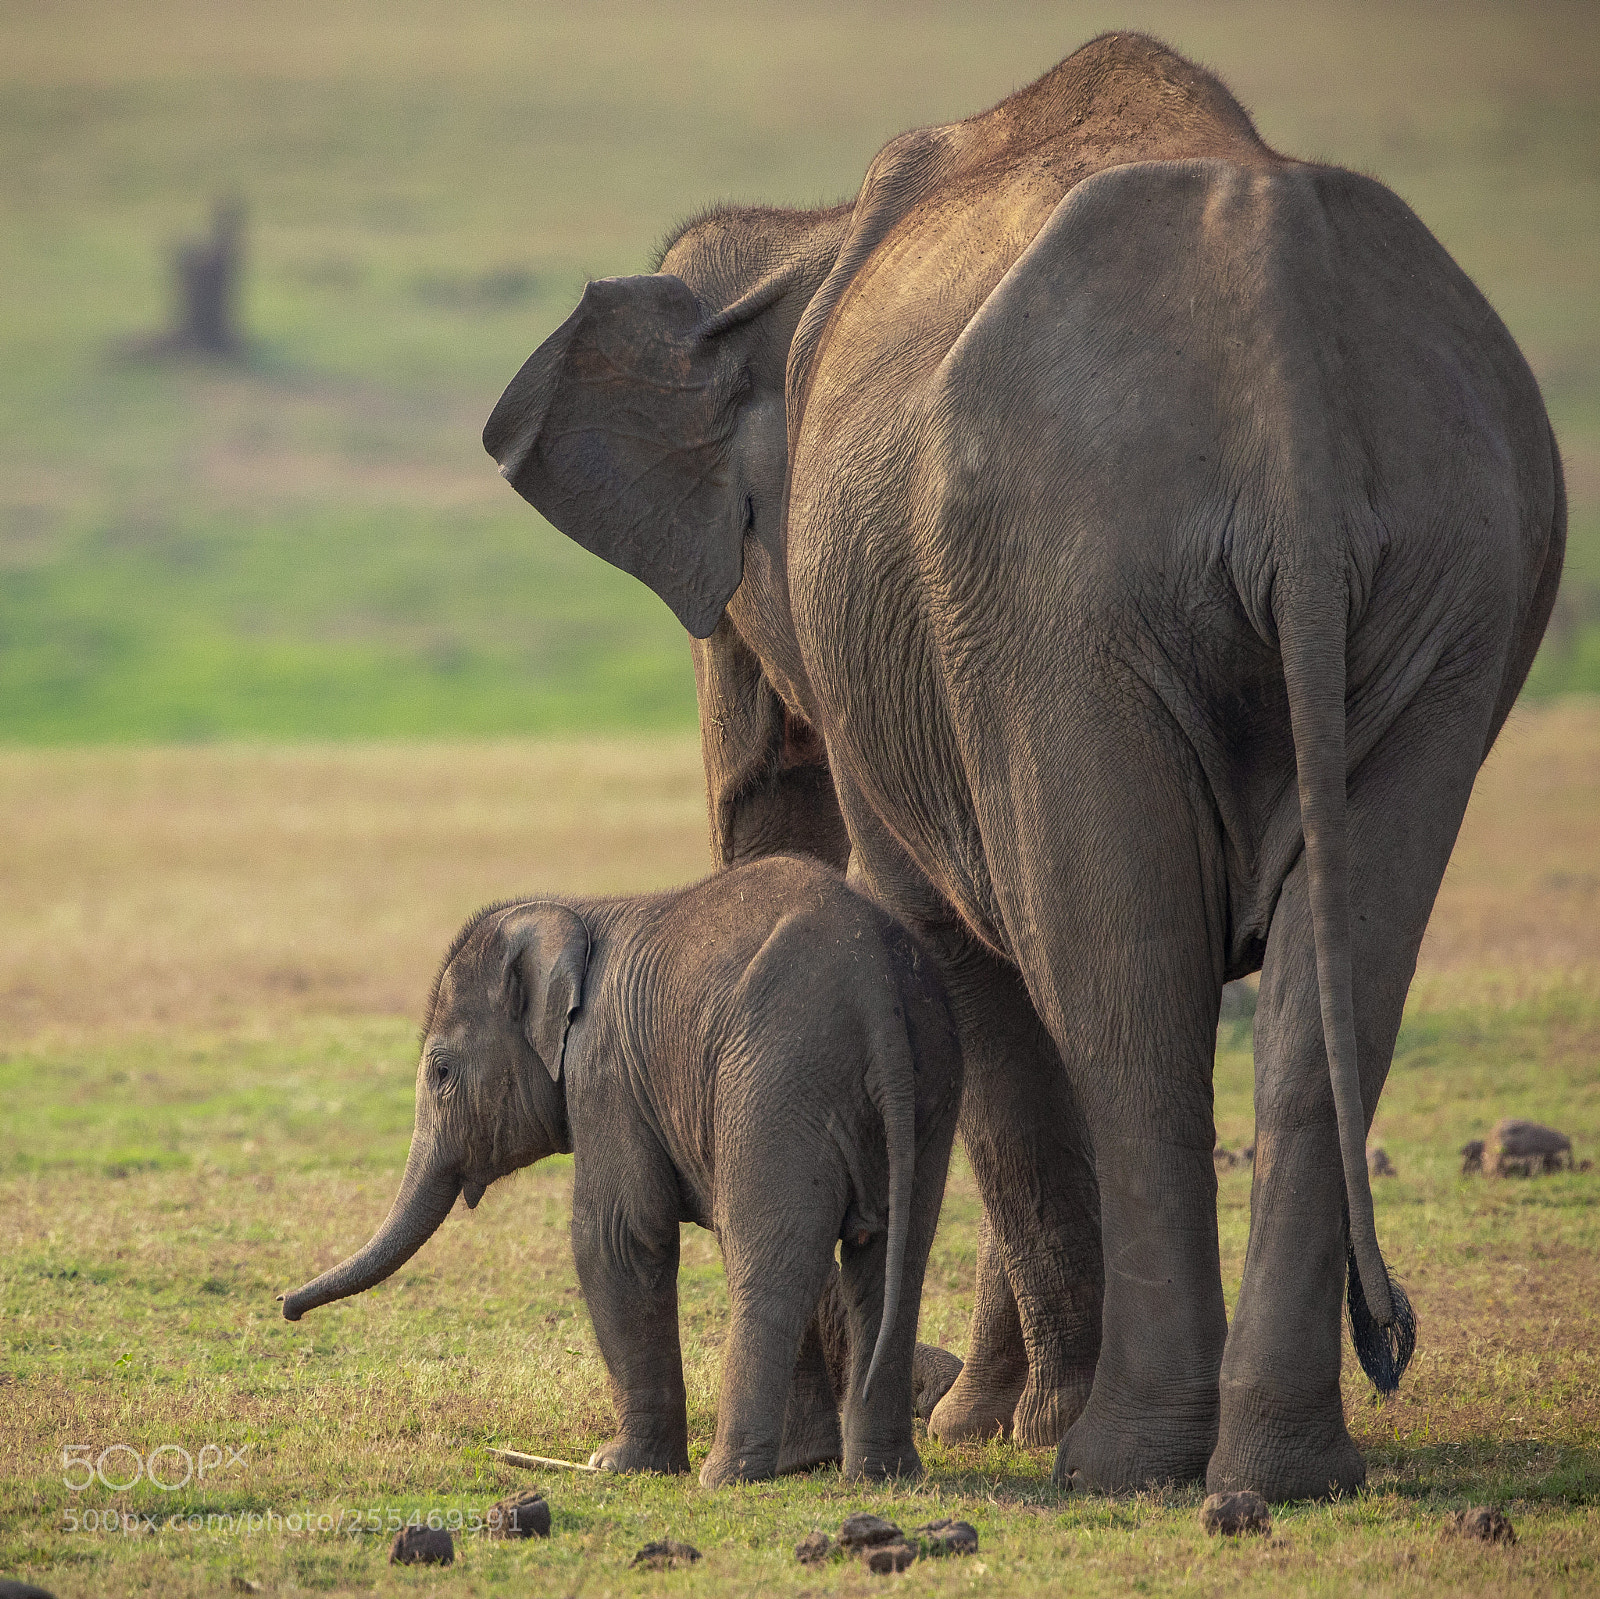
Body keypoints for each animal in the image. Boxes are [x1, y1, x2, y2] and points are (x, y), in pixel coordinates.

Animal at [279, 855, 963, 1487]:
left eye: (442, 1072)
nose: (285, 1305)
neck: (577, 912)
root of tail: (874, 985)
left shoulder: (603, 1070)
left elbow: (617, 1239)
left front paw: (618, 1466)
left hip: (778, 1080)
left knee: (772, 1262)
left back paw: (726, 1477)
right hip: (924, 1077)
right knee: (890, 1262)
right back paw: (875, 1476)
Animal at [482, 30, 1564, 1499]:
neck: (806, 238)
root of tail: (1281, 318)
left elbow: (954, 948)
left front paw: (1000, 1424)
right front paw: (973, 1420)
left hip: (1059, 589)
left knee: (1122, 990)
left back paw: (1112, 1457)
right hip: (1452, 579)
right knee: (1321, 986)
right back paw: (1278, 1469)